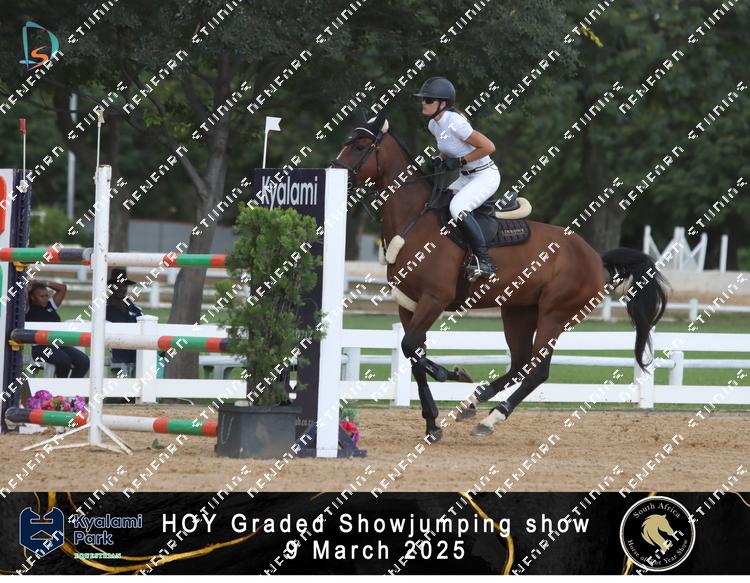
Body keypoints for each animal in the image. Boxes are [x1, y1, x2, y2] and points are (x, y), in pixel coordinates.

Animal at [332, 109, 668, 441]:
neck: (415, 221)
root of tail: (596, 258)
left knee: (537, 371)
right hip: (518, 311)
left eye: (359, 147)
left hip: (554, 315)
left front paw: (451, 375)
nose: (335, 172)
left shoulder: (434, 300)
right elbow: (412, 353)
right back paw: (473, 404)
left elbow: (410, 348)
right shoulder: (408, 305)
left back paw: (492, 417)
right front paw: (432, 423)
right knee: (519, 364)